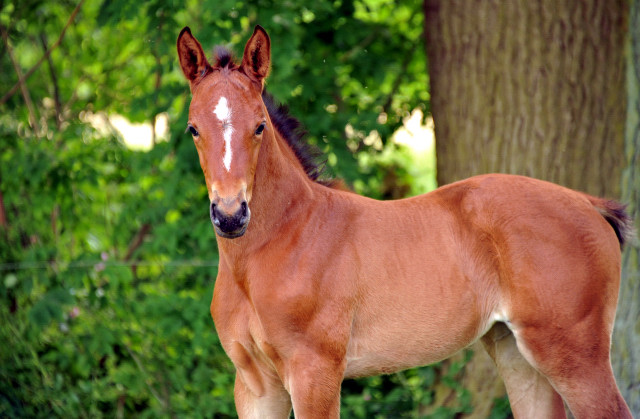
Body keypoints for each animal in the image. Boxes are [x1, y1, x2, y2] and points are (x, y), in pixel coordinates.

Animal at [178, 27, 632, 419]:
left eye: (259, 126)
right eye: (193, 129)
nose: (230, 215)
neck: (280, 243)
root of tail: (589, 204)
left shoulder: (314, 373)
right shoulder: (255, 385)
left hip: (573, 354)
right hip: (516, 352)